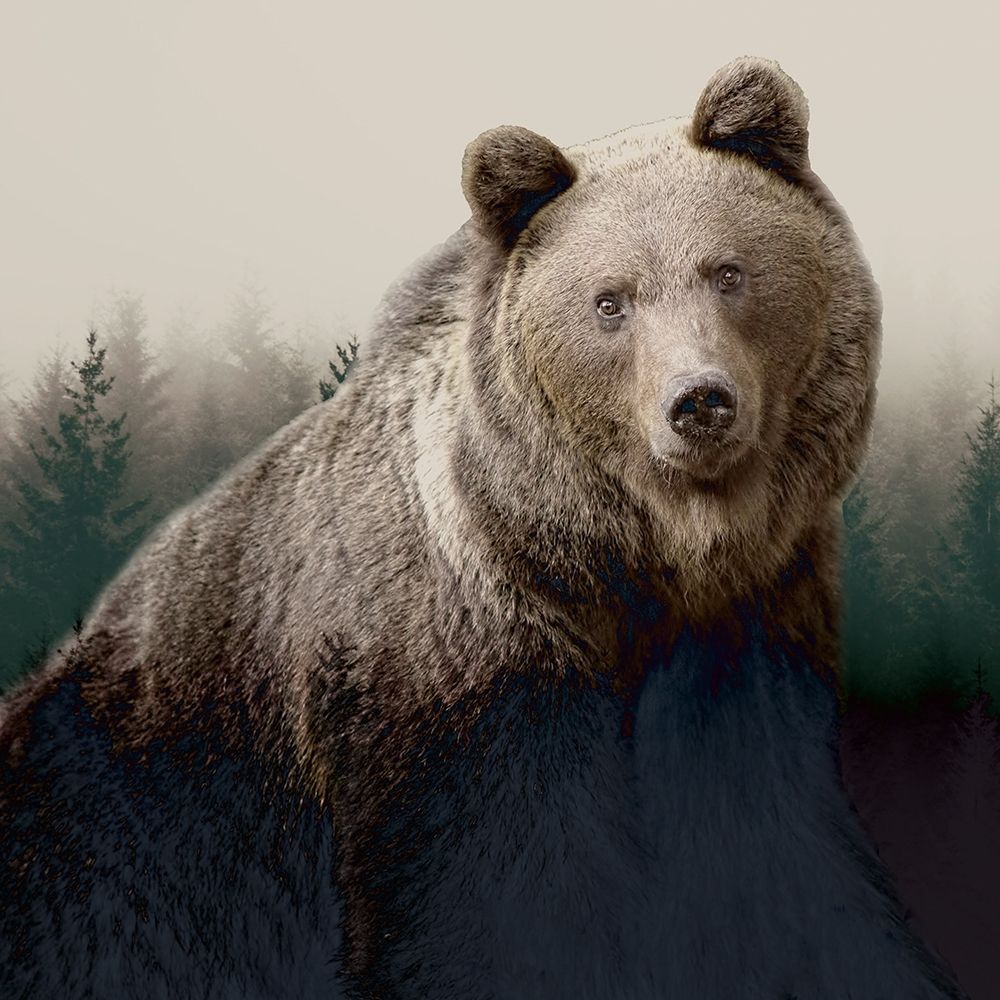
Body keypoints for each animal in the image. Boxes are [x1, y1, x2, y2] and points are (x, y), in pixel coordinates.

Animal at [0, 57, 969, 999]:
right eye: (610, 301)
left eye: (728, 271)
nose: (699, 402)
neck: (624, 566)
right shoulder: (466, 684)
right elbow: (495, 904)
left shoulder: (748, 637)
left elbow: (778, 865)